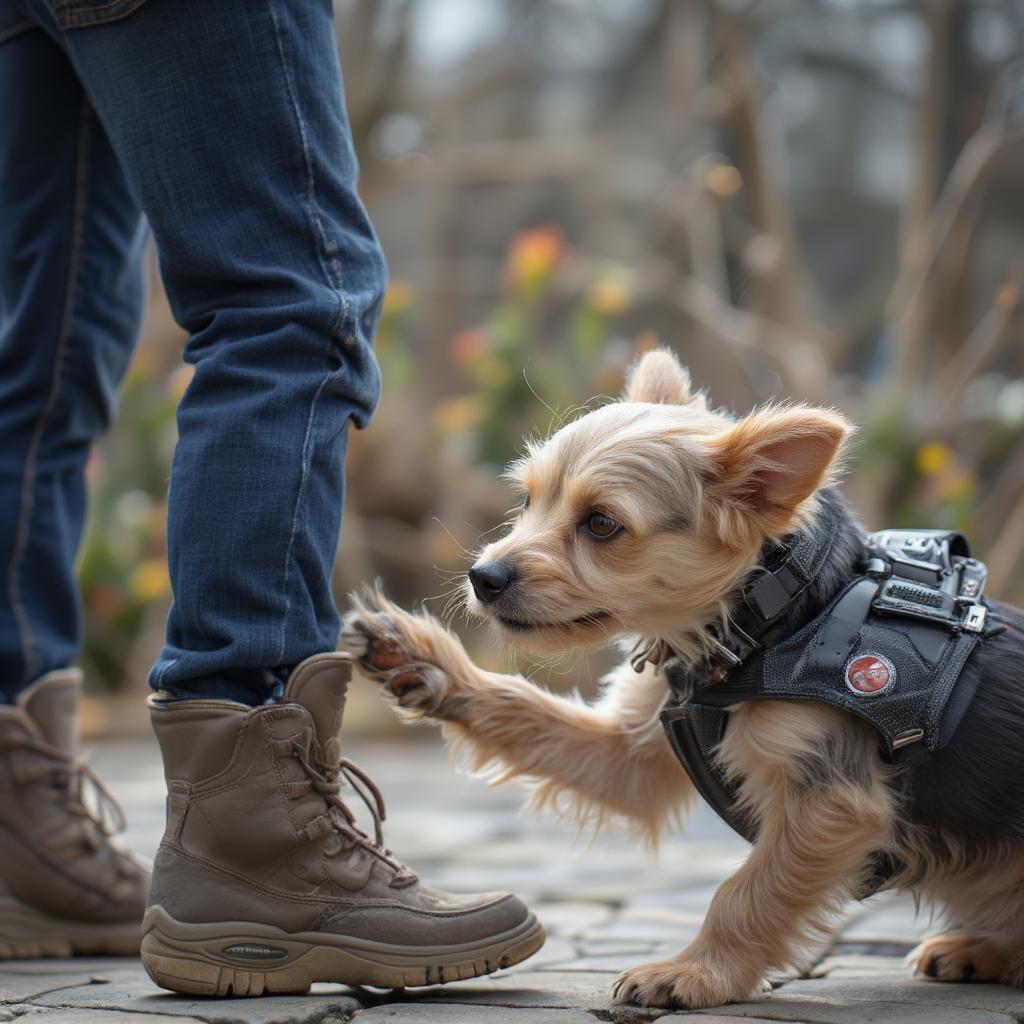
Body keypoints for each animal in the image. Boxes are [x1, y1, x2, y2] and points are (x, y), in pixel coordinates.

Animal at [339, 350, 1024, 1007]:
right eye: (527, 501)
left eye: (602, 523)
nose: (483, 577)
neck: (771, 624)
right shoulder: (635, 752)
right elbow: (525, 710)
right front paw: (424, 664)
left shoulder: (830, 800)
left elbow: (746, 891)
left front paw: (693, 975)